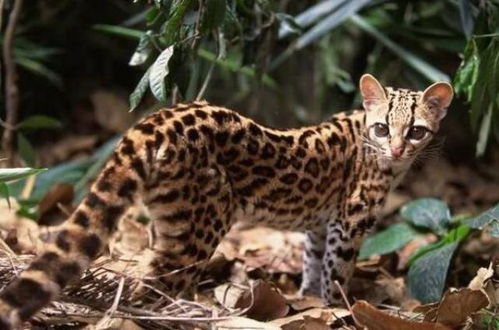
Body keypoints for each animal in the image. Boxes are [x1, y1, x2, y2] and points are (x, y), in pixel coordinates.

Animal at [0, 73, 454, 328]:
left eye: (415, 131)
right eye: (382, 129)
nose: (397, 149)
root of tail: (155, 121)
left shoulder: (319, 226)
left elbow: (313, 264)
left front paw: (309, 302)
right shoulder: (350, 221)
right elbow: (336, 273)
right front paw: (336, 308)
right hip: (201, 225)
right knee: (150, 287)